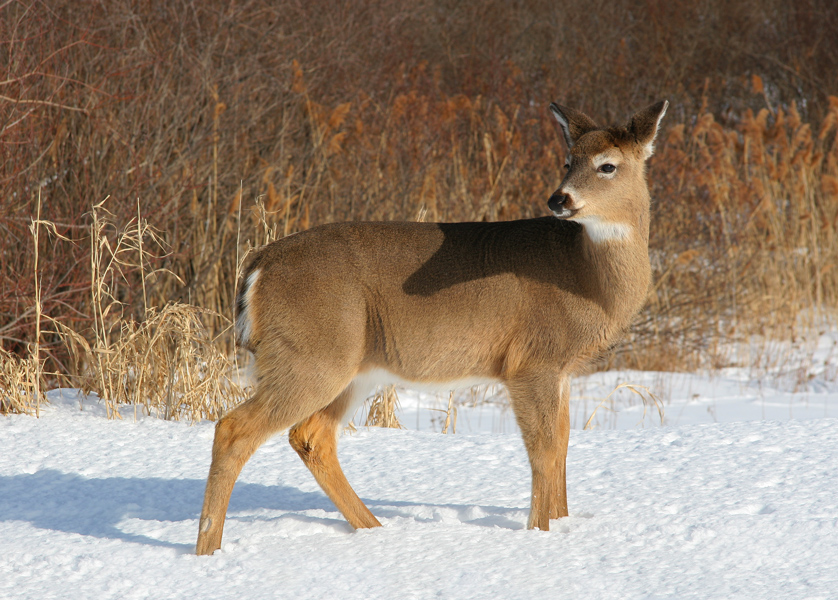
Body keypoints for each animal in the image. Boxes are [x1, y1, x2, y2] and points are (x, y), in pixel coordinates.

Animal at [195, 98, 668, 552]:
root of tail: (258, 265)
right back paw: (209, 551)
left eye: (607, 165)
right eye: (568, 160)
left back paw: (375, 530)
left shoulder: (563, 369)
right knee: (234, 429)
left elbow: (564, 444)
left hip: (350, 366)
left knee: (311, 435)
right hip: (312, 354)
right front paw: (540, 532)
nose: (558, 200)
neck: (586, 278)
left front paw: (563, 525)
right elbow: (545, 449)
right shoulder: (530, 361)